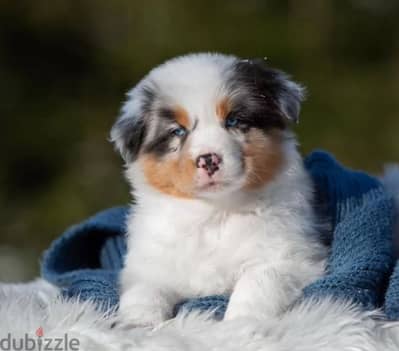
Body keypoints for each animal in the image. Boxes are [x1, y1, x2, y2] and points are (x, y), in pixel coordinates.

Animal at [110, 52, 328, 328]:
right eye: (177, 131)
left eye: (234, 120)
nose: (208, 160)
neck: (214, 212)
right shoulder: (149, 265)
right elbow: (143, 292)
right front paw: (137, 324)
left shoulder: (288, 256)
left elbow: (256, 283)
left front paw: (240, 324)